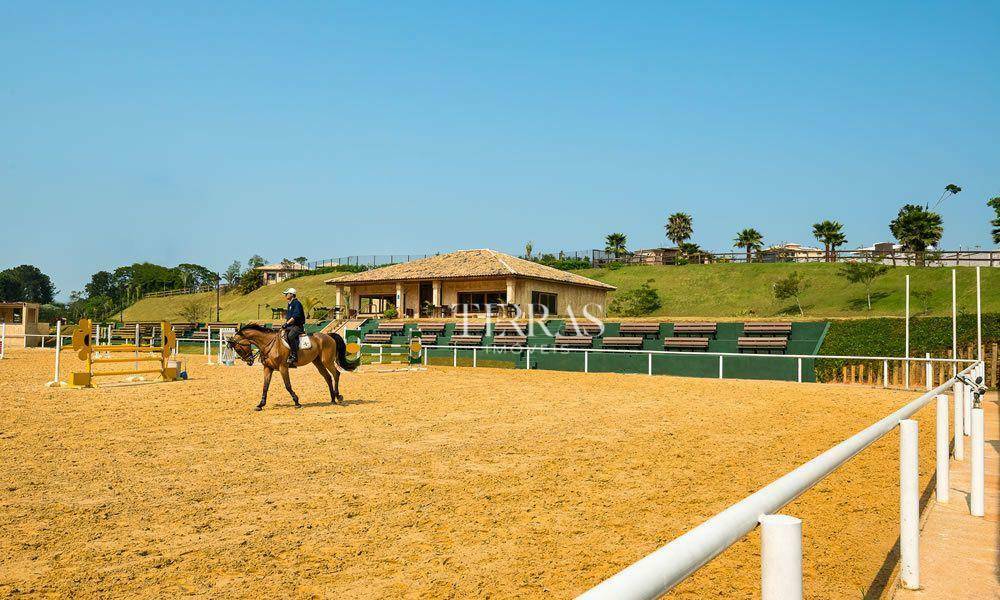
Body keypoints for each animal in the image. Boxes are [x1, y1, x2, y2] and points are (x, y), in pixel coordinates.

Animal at [225, 324, 358, 412]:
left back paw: (338, 396)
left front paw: (297, 402)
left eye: (238, 349)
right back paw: (332, 399)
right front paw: (260, 404)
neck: (269, 344)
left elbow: (287, 385)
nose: (249, 361)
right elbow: (265, 386)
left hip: (327, 361)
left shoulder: (283, 367)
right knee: (328, 377)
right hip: (318, 362)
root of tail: (328, 336)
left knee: (336, 374)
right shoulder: (268, 368)